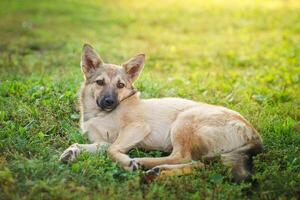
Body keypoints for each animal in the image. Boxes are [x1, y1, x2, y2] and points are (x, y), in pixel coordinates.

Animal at [59, 43, 262, 183]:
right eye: (100, 82)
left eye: (120, 85)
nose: (109, 102)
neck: (100, 114)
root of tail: (253, 134)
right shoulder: (102, 142)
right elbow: (83, 145)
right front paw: (71, 152)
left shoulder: (137, 127)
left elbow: (112, 150)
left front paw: (126, 162)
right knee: (198, 165)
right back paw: (158, 172)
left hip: (183, 121)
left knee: (181, 156)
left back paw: (143, 161)